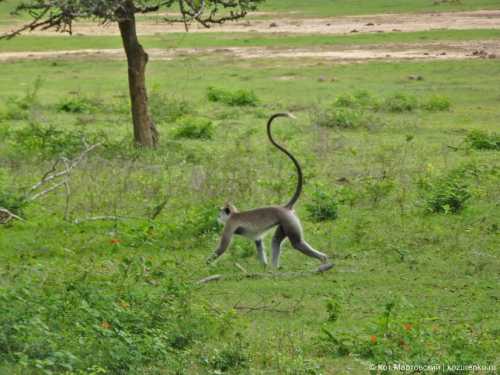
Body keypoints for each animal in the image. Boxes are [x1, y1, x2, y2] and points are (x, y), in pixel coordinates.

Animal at [207, 113, 328, 268]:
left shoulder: (230, 224)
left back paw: (323, 260)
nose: (218, 218)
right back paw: (273, 269)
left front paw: (204, 265)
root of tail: (284, 207)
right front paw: (263, 266)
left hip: (288, 220)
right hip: (284, 222)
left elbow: (222, 248)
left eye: (220, 213)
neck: (234, 214)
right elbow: (258, 241)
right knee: (276, 241)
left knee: (297, 243)